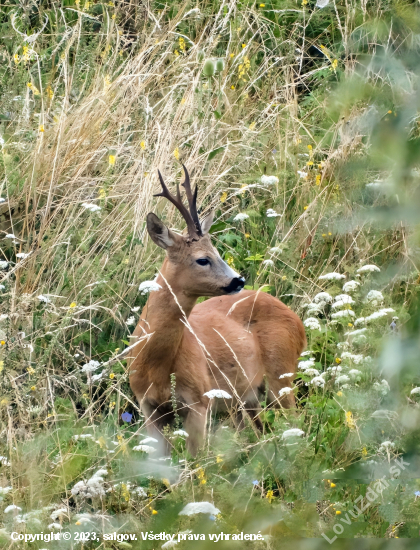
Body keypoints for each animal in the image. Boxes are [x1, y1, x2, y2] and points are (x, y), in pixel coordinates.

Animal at [128, 167, 306, 458]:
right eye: (202, 258)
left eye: (218, 251)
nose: (239, 280)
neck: (156, 363)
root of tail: (297, 320)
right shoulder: (148, 406)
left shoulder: (199, 400)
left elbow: (196, 460)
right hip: (246, 395)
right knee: (259, 431)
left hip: (281, 372)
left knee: (294, 423)